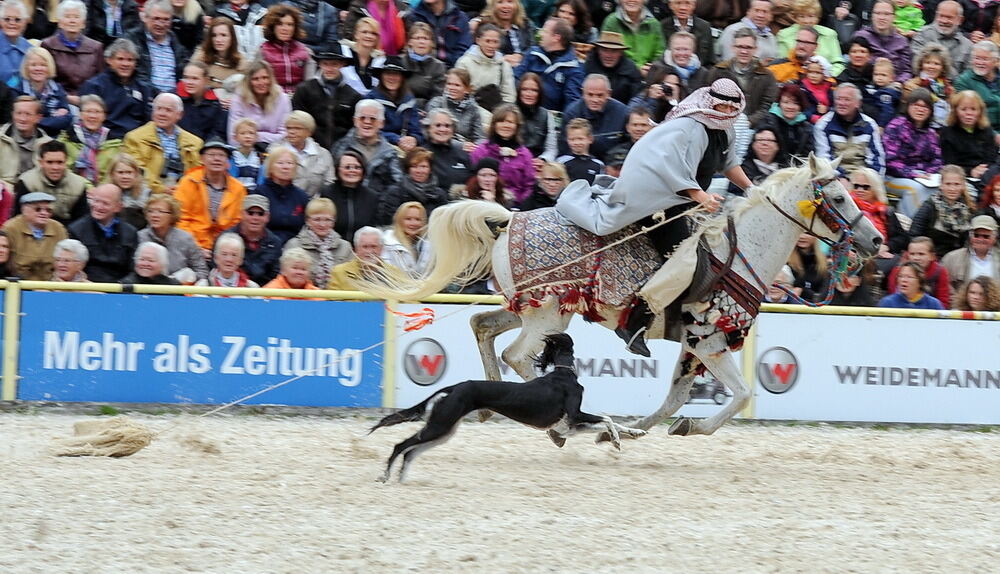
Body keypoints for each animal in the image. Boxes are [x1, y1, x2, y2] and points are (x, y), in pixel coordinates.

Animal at [362, 158, 884, 440]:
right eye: (839, 197)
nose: (876, 239)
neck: (737, 253)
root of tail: (508, 221)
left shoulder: (693, 346)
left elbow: (673, 399)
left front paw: (639, 430)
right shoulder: (710, 340)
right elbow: (740, 394)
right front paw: (690, 428)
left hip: (530, 307)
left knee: (483, 328)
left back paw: (493, 403)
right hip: (548, 314)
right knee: (517, 355)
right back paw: (552, 419)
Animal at [372, 336, 644, 484]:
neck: (562, 374)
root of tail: (454, 387)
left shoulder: (568, 427)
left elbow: (612, 422)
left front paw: (634, 432)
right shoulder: (573, 418)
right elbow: (607, 418)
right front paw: (617, 440)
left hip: (444, 430)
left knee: (410, 452)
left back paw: (401, 478)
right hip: (440, 425)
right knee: (401, 446)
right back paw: (385, 476)